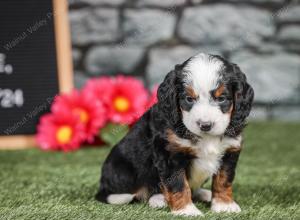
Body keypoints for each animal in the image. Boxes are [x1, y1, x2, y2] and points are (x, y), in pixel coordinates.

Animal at [95, 52, 253, 217]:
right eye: (189, 99)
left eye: (221, 98)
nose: (205, 125)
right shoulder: (170, 153)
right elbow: (178, 183)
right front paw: (187, 210)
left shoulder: (230, 150)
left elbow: (224, 179)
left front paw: (224, 205)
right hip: (121, 167)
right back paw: (158, 199)